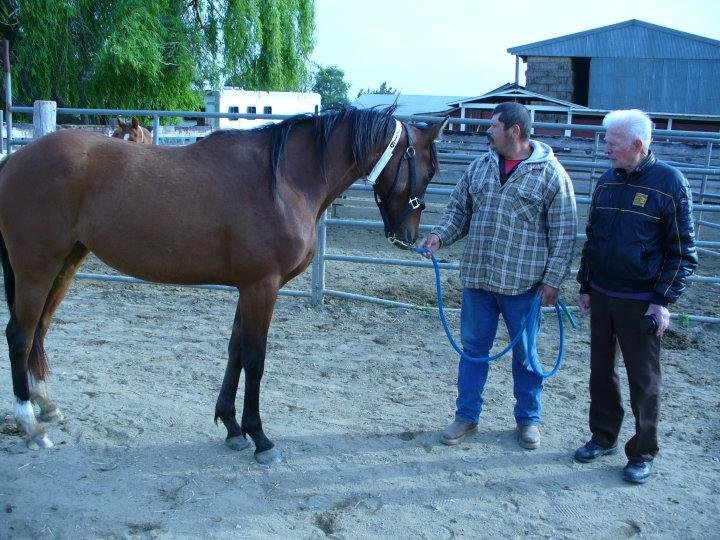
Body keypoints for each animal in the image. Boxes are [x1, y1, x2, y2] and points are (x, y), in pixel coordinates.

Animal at [0, 105, 446, 463]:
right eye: (429, 169)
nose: (408, 235)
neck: (283, 181)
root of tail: (14, 160)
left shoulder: (247, 287)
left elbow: (235, 351)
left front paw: (232, 427)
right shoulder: (262, 286)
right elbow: (255, 357)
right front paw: (260, 437)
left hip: (66, 264)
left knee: (39, 330)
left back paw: (45, 405)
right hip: (37, 267)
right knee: (20, 334)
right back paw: (31, 425)